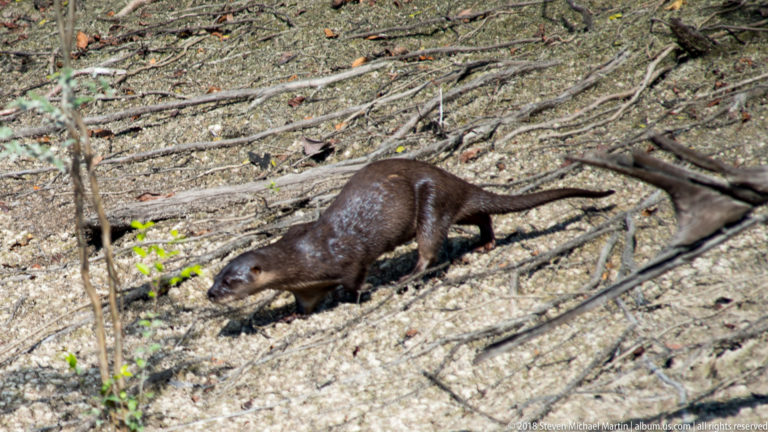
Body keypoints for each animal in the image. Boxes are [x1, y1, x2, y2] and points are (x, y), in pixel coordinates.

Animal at [207, 159, 613, 313]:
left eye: (230, 281)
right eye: (216, 277)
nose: (211, 294)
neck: (303, 256)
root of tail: (453, 180)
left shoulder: (348, 259)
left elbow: (355, 280)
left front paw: (359, 296)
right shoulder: (306, 286)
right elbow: (305, 304)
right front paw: (290, 317)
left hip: (431, 201)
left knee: (430, 248)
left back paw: (407, 277)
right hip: (454, 205)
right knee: (481, 213)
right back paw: (484, 242)